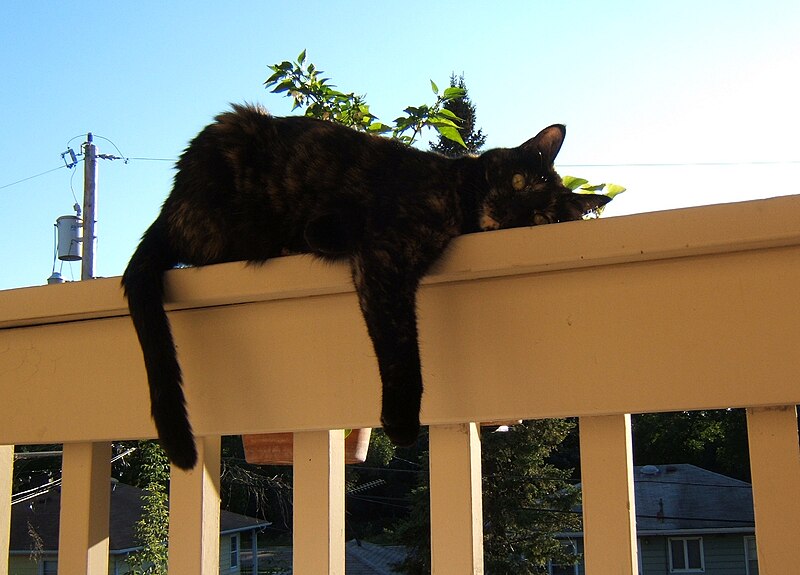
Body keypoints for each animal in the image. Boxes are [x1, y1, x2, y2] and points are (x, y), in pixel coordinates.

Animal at [120, 104, 612, 468]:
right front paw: (401, 423)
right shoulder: (384, 256)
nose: (509, 213)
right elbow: (400, 346)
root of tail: (170, 206)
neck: (456, 196)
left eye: (541, 217)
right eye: (519, 181)